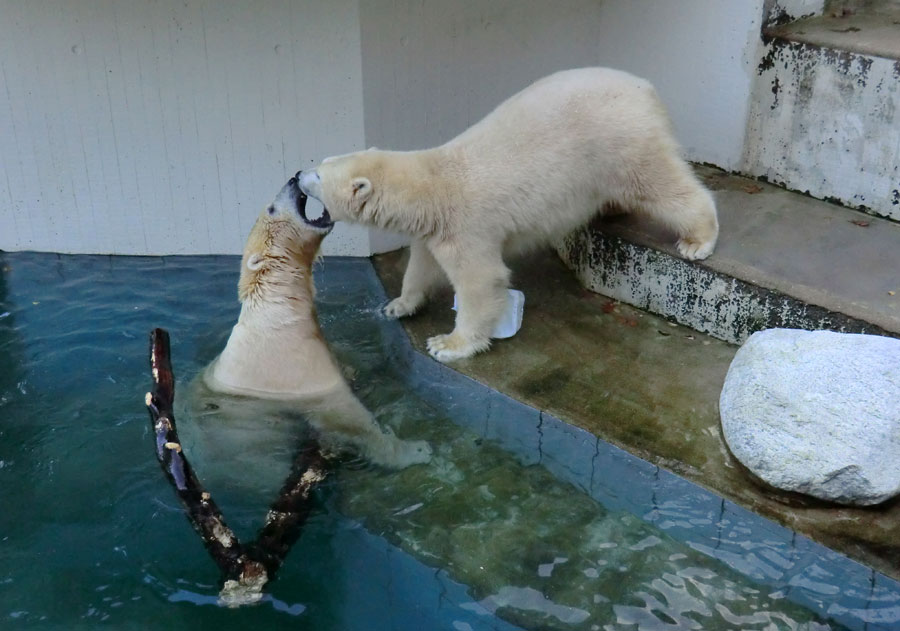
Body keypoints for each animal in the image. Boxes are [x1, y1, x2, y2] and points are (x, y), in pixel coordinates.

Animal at [200, 175, 432, 472]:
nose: (292, 178)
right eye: (271, 208)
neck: (278, 311)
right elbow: (347, 415)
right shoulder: (299, 370)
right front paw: (415, 450)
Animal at [298, 66, 720, 362]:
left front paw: (448, 344)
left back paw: (697, 239)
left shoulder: (465, 226)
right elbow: (421, 264)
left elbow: (481, 281)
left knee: (660, 184)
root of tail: (646, 88)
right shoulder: (434, 230)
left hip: (622, 140)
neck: (432, 185)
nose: (297, 175)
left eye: (319, 173)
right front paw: (398, 305)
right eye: (323, 162)